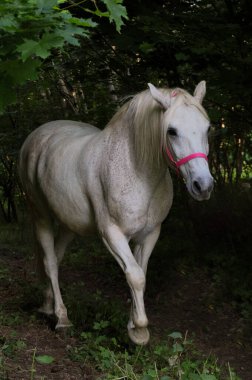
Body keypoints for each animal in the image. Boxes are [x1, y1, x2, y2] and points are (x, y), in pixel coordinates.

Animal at [18, 82, 214, 344]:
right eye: (171, 131)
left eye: (207, 128)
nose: (203, 186)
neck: (136, 170)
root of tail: (36, 137)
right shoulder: (112, 233)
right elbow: (135, 276)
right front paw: (139, 330)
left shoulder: (150, 234)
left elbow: (140, 274)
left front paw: (133, 325)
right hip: (41, 215)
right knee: (49, 262)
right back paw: (61, 317)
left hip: (69, 225)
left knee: (56, 259)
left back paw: (48, 306)